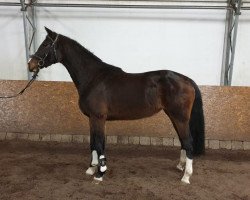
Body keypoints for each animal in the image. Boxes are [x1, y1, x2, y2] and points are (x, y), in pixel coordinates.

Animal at [28, 27, 204, 185]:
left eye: (45, 44)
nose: (31, 64)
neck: (93, 78)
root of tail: (187, 80)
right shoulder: (92, 119)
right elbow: (93, 142)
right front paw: (91, 168)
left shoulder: (98, 118)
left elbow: (99, 144)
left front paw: (100, 174)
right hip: (174, 117)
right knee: (183, 141)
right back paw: (180, 166)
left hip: (179, 118)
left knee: (188, 142)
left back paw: (186, 176)